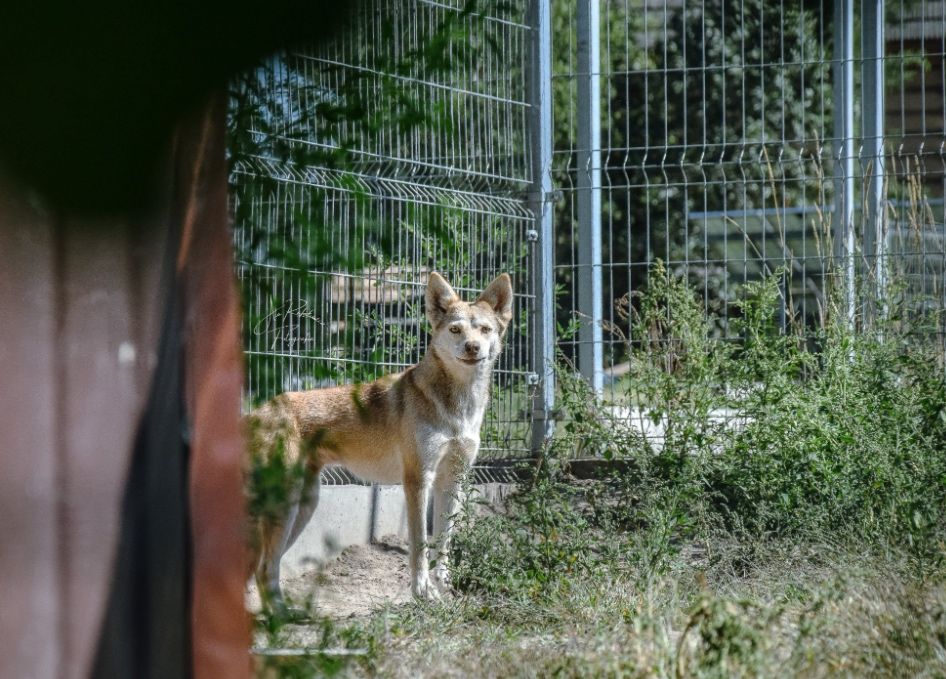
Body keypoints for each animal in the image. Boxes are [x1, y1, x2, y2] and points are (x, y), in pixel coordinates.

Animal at [243, 274, 508, 604]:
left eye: (484, 329)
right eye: (455, 329)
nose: (473, 347)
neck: (458, 409)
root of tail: (256, 413)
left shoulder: (452, 481)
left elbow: (443, 543)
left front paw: (442, 588)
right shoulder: (417, 481)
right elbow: (419, 546)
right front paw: (422, 593)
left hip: (303, 506)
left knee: (262, 569)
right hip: (286, 507)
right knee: (264, 568)